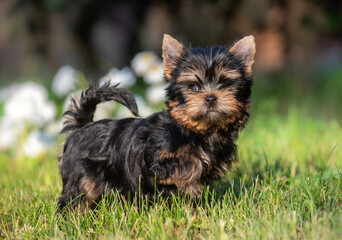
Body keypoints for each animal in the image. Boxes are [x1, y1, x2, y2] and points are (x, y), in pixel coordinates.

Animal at [57, 33, 255, 210]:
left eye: (226, 84)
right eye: (194, 87)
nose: (211, 97)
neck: (197, 131)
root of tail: (83, 125)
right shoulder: (163, 165)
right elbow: (179, 181)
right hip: (81, 174)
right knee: (77, 196)